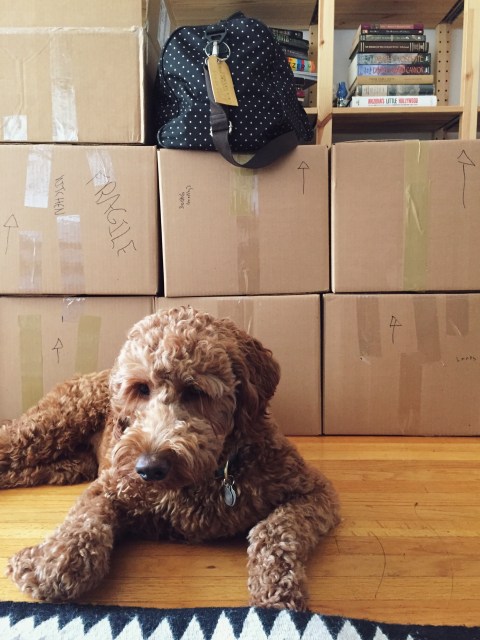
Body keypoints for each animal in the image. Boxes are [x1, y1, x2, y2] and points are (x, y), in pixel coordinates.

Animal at [1, 308, 340, 612]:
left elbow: (274, 529)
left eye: (195, 390)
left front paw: (276, 589)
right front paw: (50, 564)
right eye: (140, 388)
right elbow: (84, 521)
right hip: (52, 424)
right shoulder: (111, 486)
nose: (149, 469)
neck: (210, 476)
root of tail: (93, 373)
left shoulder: (311, 490)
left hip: (66, 463)